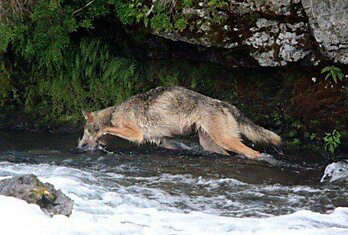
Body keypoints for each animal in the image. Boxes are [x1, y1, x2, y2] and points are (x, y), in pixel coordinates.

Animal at [77, 86, 280, 158]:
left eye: (85, 131)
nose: (78, 147)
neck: (114, 113)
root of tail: (226, 104)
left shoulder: (136, 134)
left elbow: (108, 129)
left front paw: (102, 133)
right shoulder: (166, 142)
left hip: (225, 140)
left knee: (255, 153)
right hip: (210, 144)